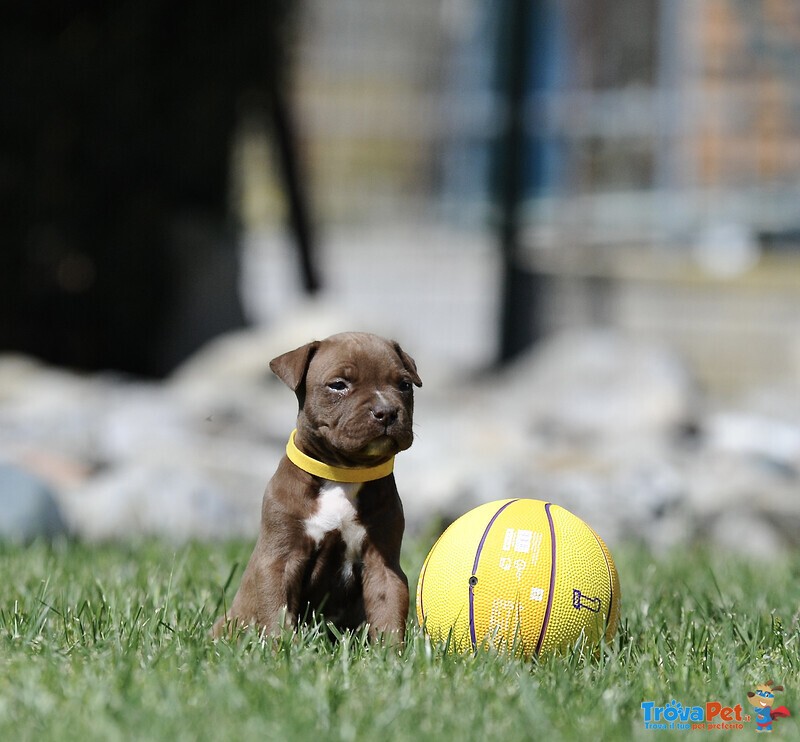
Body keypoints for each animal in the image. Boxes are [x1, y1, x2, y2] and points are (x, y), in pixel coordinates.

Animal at [212, 332, 424, 644]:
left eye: (404, 385)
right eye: (338, 385)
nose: (386, 411)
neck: (343, 475)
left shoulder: (383, 563)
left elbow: (389, 613)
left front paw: (391, 652)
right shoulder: (279, 560)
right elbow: (277, 612)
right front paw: (280, 649)